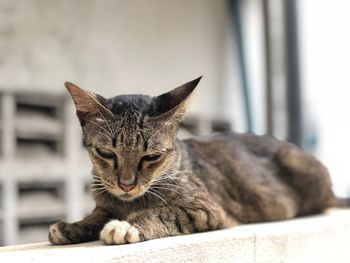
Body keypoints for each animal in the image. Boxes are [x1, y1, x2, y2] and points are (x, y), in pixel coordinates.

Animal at [47, 77, 346, 246]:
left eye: (151, 157)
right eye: (106, 153)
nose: (126, 184)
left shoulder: (207, 209)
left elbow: (163, 212)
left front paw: (127, 225)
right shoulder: (105, 203)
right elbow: (96, 215)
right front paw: (73, 226)